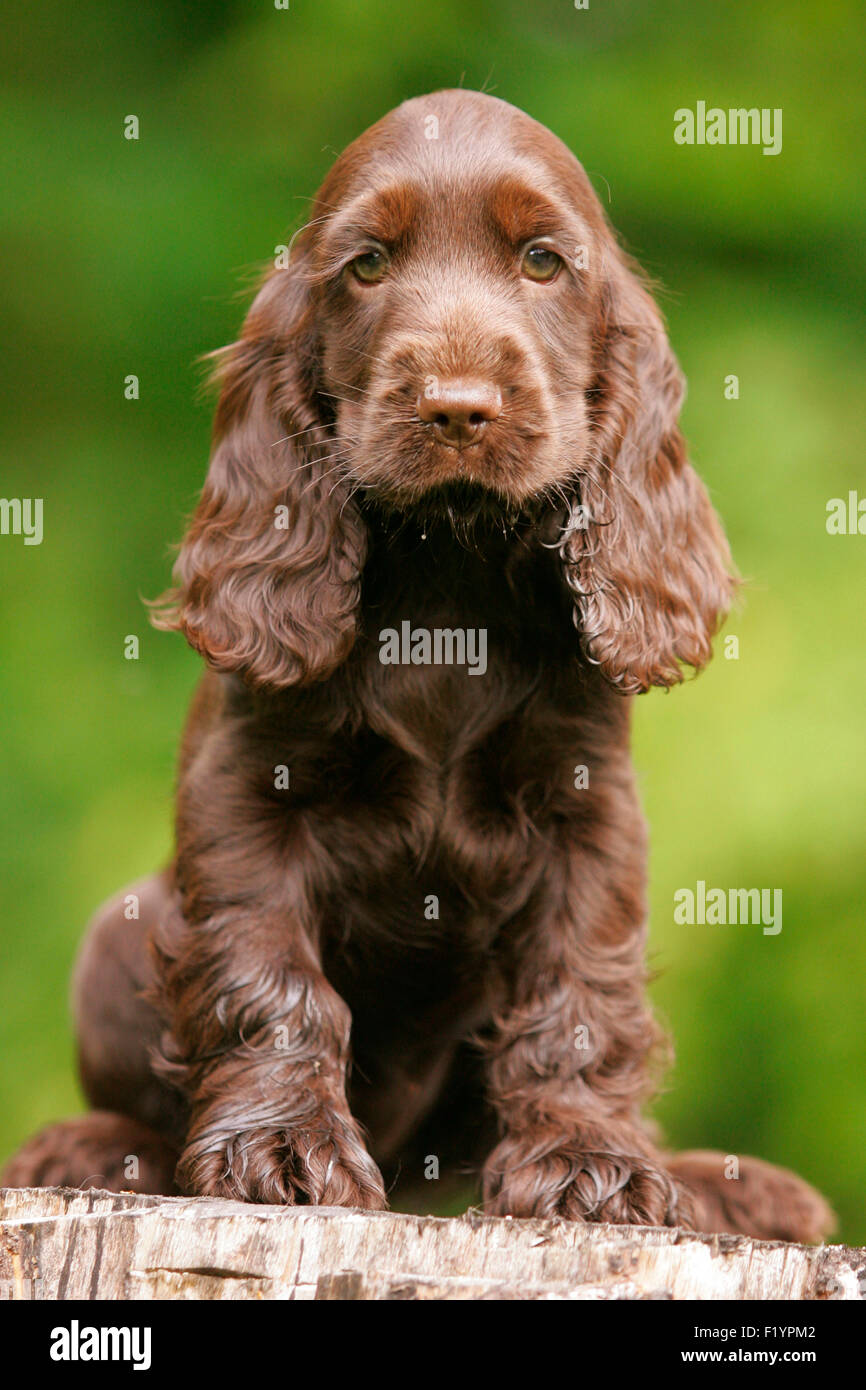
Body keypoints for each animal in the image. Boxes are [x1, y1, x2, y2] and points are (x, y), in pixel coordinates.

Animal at [5, 86, 834, 1239]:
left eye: (542, 260)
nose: (456, 407)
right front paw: (280, 1148)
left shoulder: (590, 808)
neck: (450, 574)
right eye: (366, 265)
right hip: (113, 935)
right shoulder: (246, 789)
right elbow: (267, 975)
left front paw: (589, 1163)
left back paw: (732, 1184)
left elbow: (582, 992)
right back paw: (93, 1148)